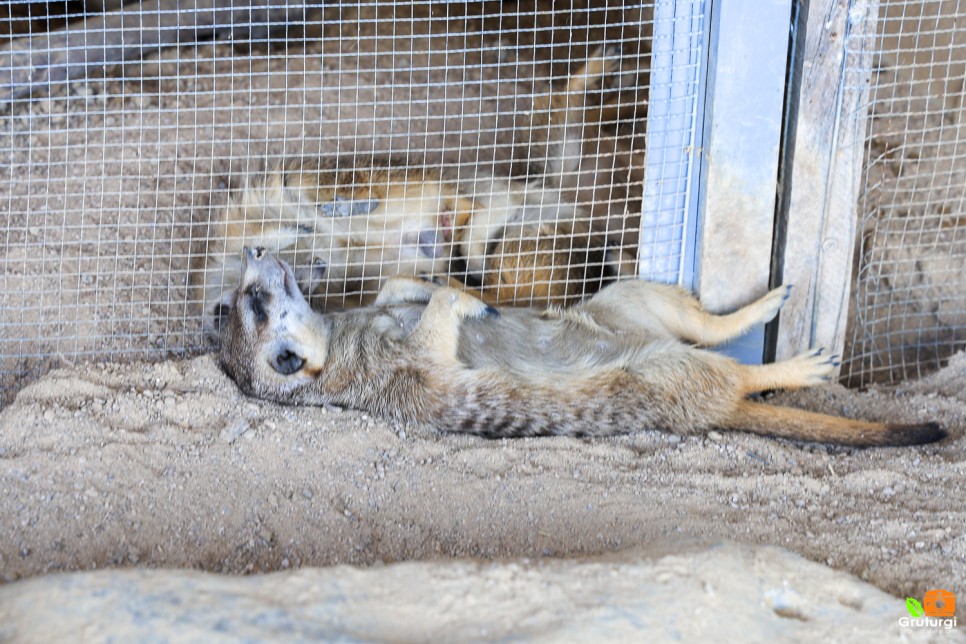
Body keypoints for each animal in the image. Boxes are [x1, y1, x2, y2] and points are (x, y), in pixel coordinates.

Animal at [217, 247, 944, 448]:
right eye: (256, 305)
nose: (257, 248)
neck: (347, 339)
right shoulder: (404, 373)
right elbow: (434, 339)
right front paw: (467, 300)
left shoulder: (381, 312)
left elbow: (400, 283)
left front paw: (441, 282)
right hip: (664, 372)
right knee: (726, 373)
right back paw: (793, 365)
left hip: (623, 304)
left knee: (682, 316)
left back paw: (760, 305)